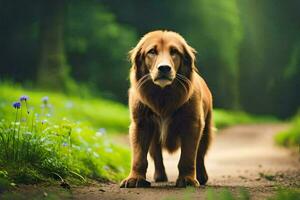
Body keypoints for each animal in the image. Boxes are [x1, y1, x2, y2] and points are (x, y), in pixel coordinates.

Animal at [119, 29, 213, 188]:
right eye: (152, 51)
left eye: (174, 51)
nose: (164, 68)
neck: (163, 95)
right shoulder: (141, 124)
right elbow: (139, 157)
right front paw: (135, 178)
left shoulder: (193, 124)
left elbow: (188, 156)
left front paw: (187, 179)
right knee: (157, 155)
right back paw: (160, 176)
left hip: (206, 131)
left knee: (200, 154)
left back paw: (201, 176)